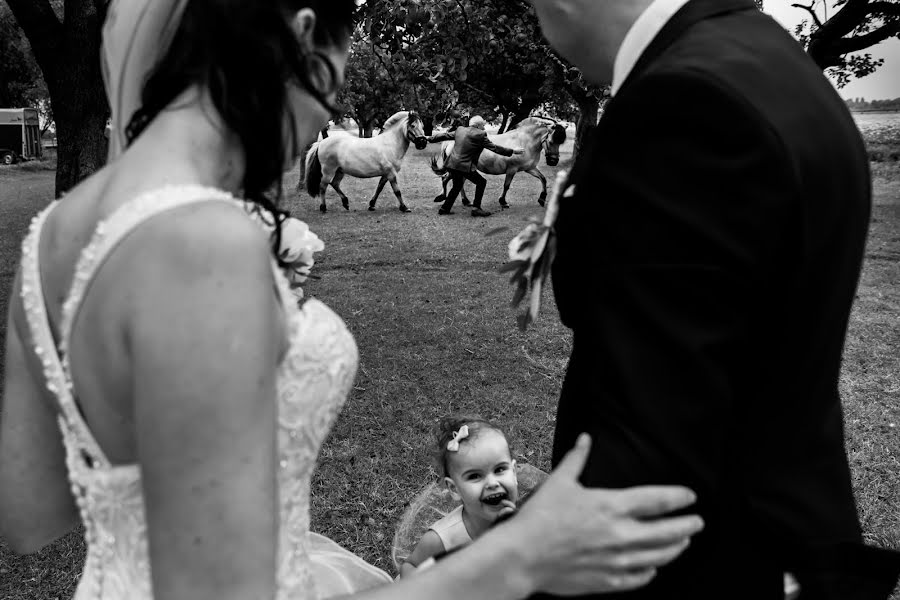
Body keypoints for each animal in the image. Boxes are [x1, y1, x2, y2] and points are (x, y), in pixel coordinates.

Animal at [428, 117, 568, 209]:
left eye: (560, 142)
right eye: (551, 141)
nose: (553, 161)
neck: (525, 142)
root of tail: (450, 141)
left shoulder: (530, 168)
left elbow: (543, 179)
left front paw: (542, 199)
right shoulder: (512, 170)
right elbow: (506, 186)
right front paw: (503, 202)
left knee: (457, 183)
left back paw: (465, 201)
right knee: (446, 179)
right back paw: (444, 197)